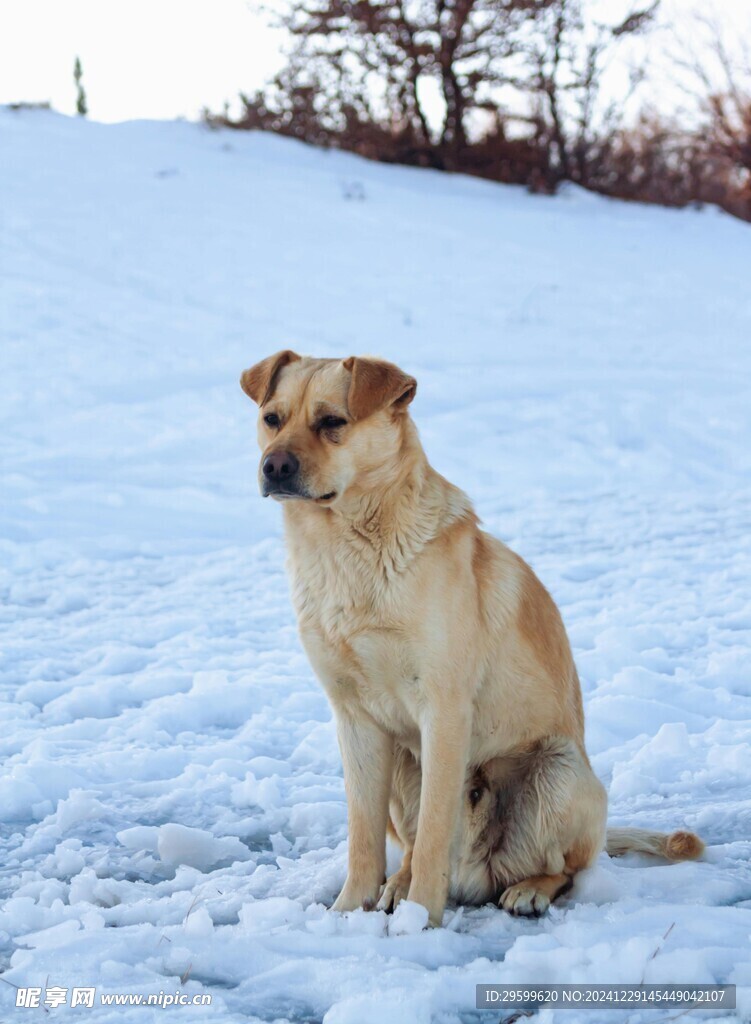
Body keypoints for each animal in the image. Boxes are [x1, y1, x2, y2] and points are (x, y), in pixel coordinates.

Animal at [241, 348, 704, 925]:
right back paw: (397, 885)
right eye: (272, 418)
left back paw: (525, 889)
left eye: (332, 422)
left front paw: (420, 922)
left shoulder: (443, 709)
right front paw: (349, 912)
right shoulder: (355, 719)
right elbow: (363, 839)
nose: (274, 466)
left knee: (566, 868)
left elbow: (436, 833)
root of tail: (479, 873)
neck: (346, 551)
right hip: (402, 765)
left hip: (557, 770)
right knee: (408, 845)